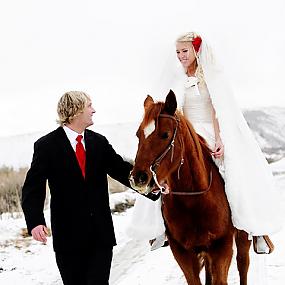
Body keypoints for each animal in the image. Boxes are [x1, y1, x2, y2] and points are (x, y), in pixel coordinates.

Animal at [129, 89, 251, 284]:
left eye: (165, 134)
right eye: (138, 134)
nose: (139, 178)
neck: (194, 200)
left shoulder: (221, 248)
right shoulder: (182, 252)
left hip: (243, 237)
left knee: (243, 265)